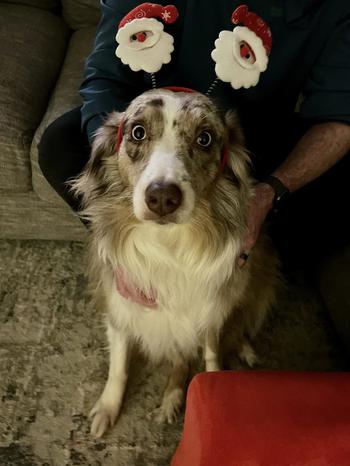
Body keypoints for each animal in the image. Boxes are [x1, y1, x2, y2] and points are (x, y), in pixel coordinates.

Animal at [69, 87, 280, 436]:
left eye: (205, 138)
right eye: (138, 132)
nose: (162, 197)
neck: (167, 245)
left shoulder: (210, 308)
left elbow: (211, 356)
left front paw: (216, 386)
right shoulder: (120, 301)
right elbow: (119, 363)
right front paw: (108, 407)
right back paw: (171, 397)